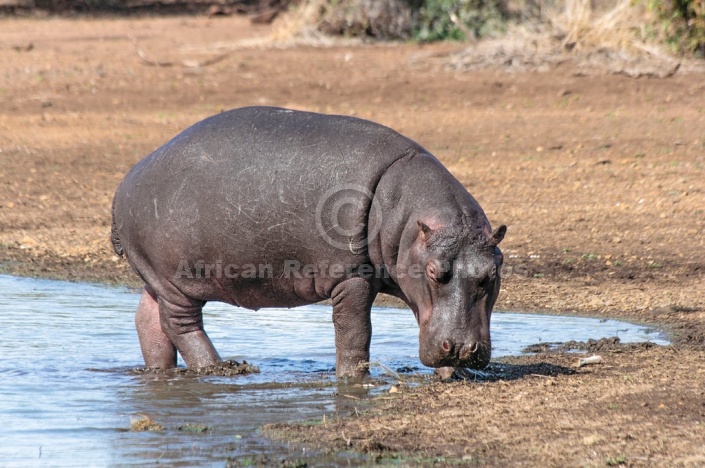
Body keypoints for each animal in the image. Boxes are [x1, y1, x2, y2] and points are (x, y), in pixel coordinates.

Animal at [111, 106, 506, 376]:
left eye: (492, 274)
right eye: (434, 272)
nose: (462, 348)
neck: (407, 217)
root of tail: (127, 179)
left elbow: (426, 319)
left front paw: (451, 371)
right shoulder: (352, 277)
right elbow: (354, 332)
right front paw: (354, 378)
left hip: (156, 277)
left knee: (148, 320)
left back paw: (161, 372)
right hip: (175, 280)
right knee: (180, 324)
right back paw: (222, 369)